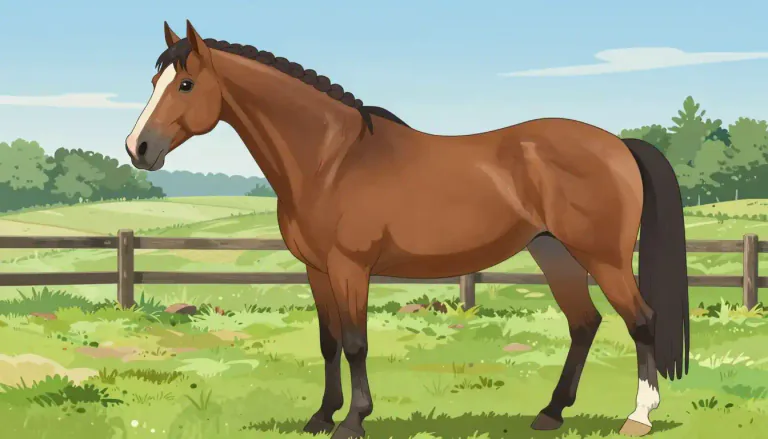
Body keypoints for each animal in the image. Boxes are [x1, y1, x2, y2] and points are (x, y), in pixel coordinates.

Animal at [125, 20, 690, 439]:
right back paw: (550, 414)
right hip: (554, 253)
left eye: (186, 84)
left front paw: (353, 421)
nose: (137, 148)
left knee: (641, 320)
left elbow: (355, 342)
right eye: (153, 83)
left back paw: (638, 417)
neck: (332, 160)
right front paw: (320, 416)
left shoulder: (350, 268)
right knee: (584, 324)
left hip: (604, 257)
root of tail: (618, 144)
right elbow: (329, 342)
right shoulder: (316, 271)